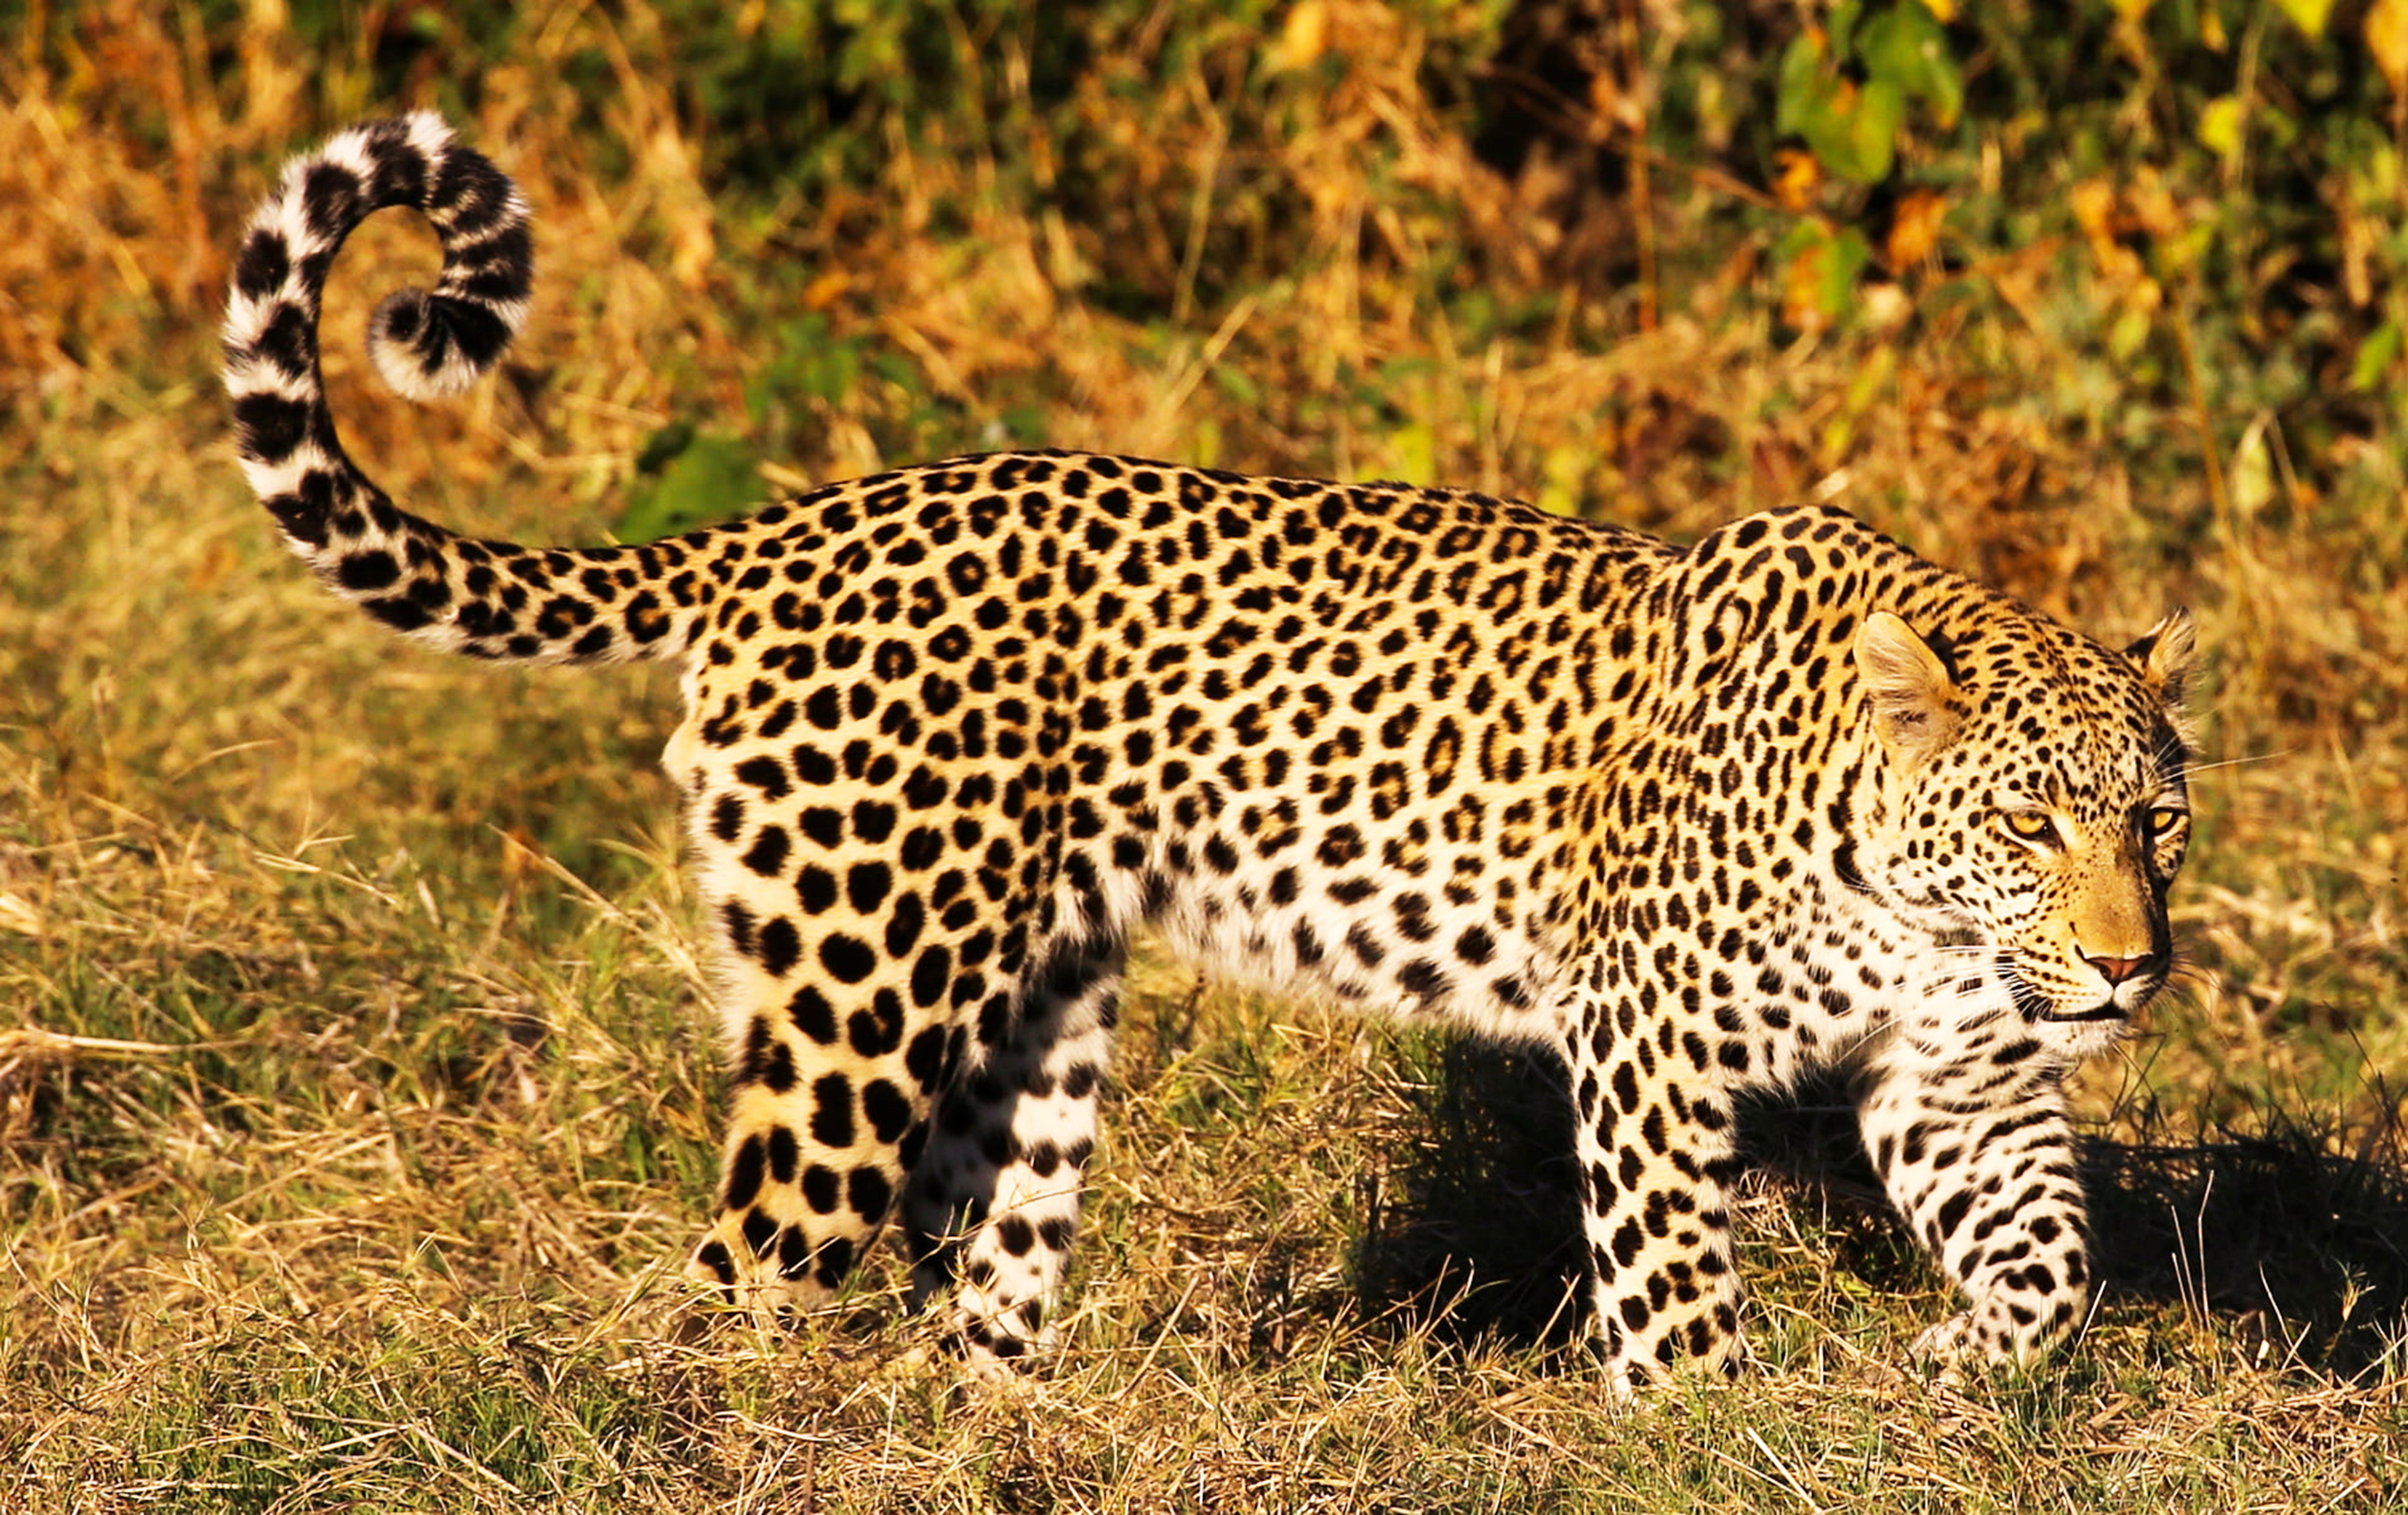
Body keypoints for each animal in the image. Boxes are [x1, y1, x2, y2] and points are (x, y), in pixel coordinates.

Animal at [222, 115, 2197, 1388]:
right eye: (2033, 823)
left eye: (2157, 825)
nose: (2128, 969)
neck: (1906, 890)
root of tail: (781, 527)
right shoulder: (1644, 1041)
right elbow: (1670, 1278)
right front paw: (1705, 1433)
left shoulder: (1959, 1071)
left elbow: (2052, 1253)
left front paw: (1968, 1356)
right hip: (861, 1000)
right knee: (738, 1273)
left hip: (1036, 1011)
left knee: (980, 1261)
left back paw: (1000, 1431)